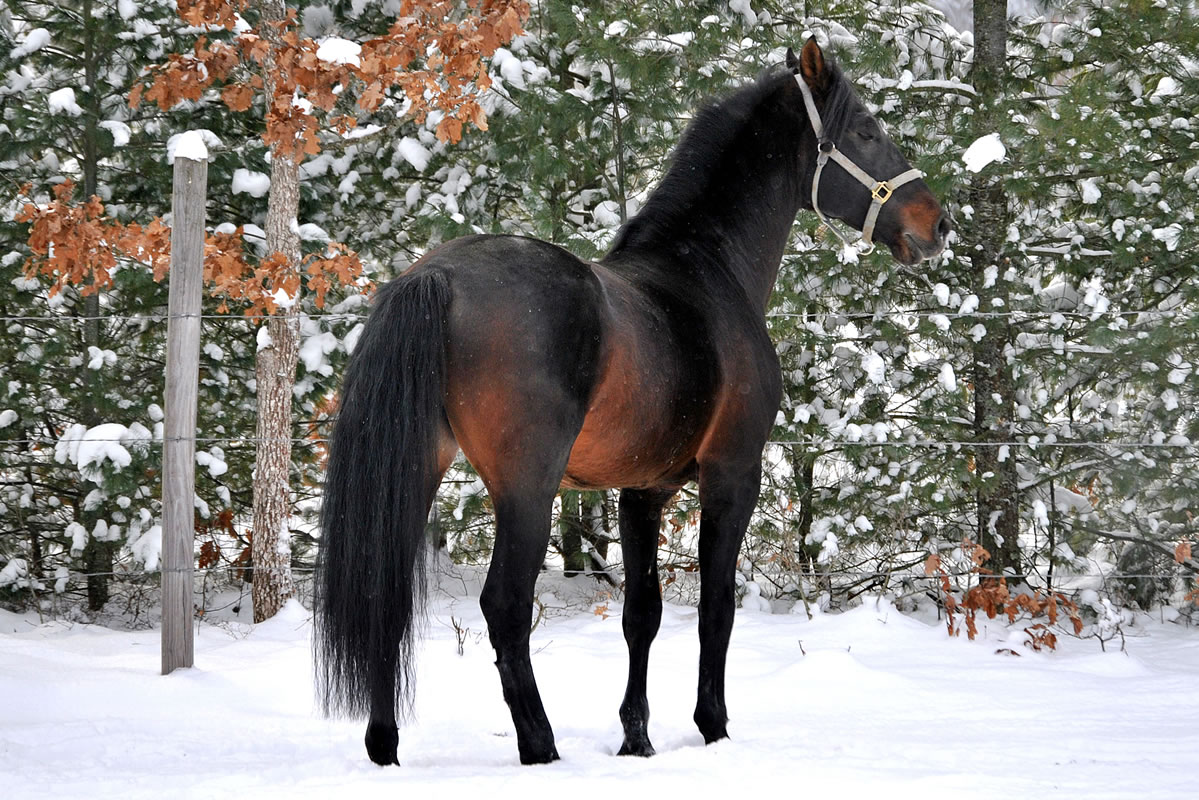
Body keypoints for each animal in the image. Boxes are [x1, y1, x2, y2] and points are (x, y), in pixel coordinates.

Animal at [314, 38, 950, 767]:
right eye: (867, 131)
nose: (939, 223)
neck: (705, 272)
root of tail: (436, 276)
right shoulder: (733, 474)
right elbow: (715, 607)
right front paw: (711, 726)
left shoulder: (642, 490)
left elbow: (641, 614)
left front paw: (636, 738)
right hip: (527, 486)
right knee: (505, 605)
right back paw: (540, 745)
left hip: (420, 465)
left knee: (385, 595)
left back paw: (384, 746)